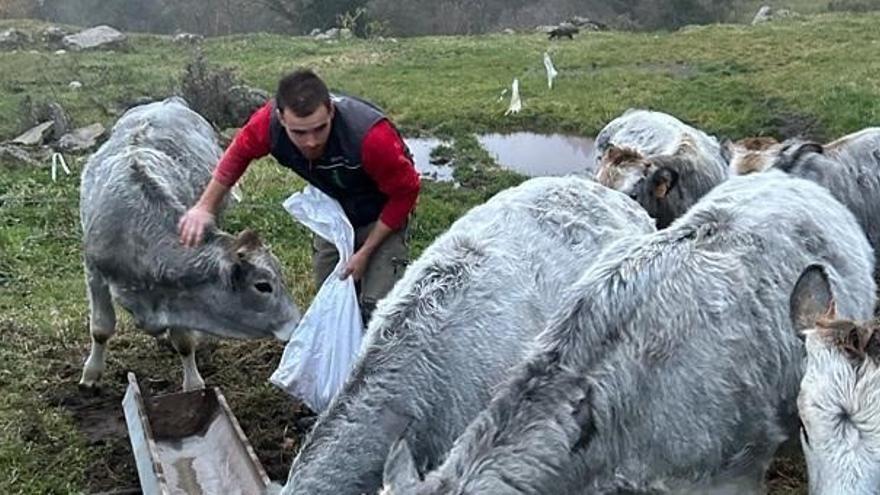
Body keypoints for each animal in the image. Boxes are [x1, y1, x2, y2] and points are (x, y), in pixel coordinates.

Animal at [79, 96, 300, 392]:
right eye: (263, 286)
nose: (297, 324)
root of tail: (168, 102)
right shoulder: (94, 270)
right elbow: (101, 328)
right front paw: (90, 375)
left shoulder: (179, 294)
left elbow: (184, 342)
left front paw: (193, 383)